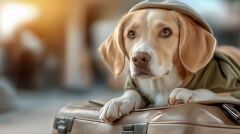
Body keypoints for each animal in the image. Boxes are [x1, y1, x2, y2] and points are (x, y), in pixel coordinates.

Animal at [97, 0, 240, 122]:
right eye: (131, 34)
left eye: (166, 32)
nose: (139, 59)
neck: (160, 86)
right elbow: (132, 93)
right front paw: (118, 101)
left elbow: (211, 93)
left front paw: (188, 92)